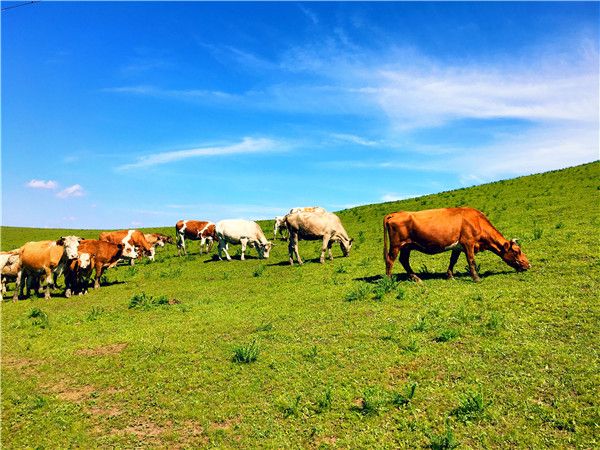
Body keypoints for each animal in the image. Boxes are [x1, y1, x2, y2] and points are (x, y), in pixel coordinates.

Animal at [382, 207, 532, 284]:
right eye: (517, 251)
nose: (528, 265)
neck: (476, 221)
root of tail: (395, 213)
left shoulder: (457, 247)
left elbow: (452, 261)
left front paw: (450, 276)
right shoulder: (468, 243)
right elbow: (471, 261)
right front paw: (476, 278)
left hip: (407, 246)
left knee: (404, 260)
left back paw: (416, 278)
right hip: (396, 245)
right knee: (390, 260)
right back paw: (389, 280)